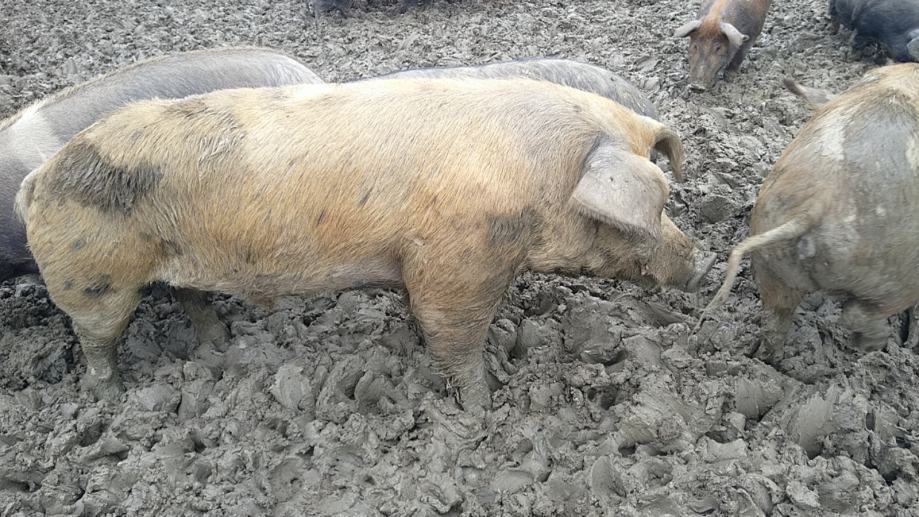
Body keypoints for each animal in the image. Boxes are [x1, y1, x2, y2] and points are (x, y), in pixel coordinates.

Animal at [17, 77, 714, 409]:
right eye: (656, 208)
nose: (701, 265)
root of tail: (39, 178)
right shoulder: (457, 264)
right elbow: (456, 339)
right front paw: (484, 408)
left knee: (191, 299)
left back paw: (216, 348)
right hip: (91, 279)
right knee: (96, 339)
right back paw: (110, 397)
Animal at [701, 63, 919, 362]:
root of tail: (817, 204)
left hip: (772, 261)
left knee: (774, 320)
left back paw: (769, 359)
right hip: (895, 275)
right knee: (859, 312)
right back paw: (871, 347)